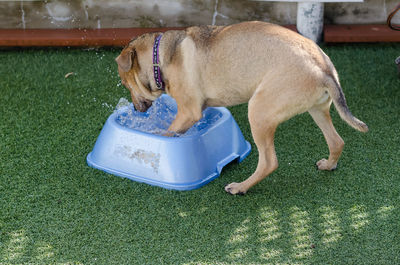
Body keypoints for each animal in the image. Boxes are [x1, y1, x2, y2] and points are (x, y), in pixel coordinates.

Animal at [114, 20, 368, 194]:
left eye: (126, 83)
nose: (136, 110)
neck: (160, 56)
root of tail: (323, 68)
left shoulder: (188, 112)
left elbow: (166, 133)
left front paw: (145, 151)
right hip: (317, 110)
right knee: (337, 141)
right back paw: (329, 164)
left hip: (258, 111)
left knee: (269, 162)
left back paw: (240, 187)